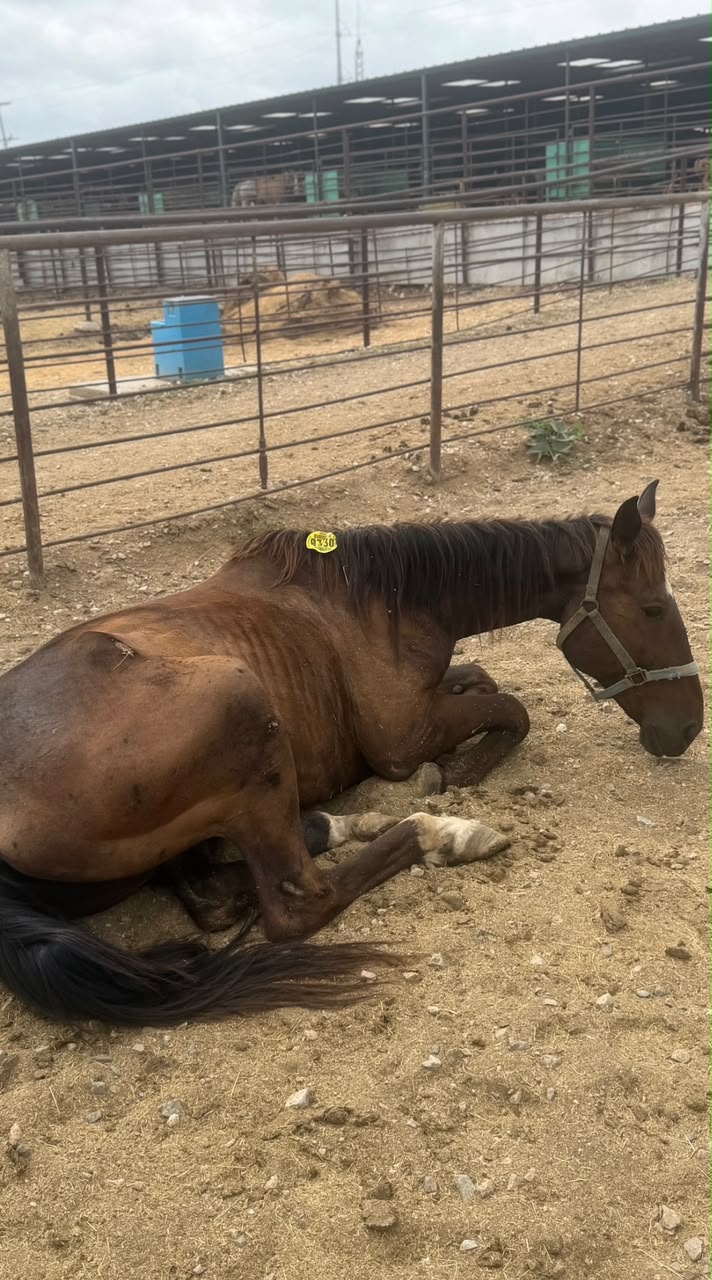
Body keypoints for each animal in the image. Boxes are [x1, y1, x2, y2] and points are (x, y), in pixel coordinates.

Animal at [0, 482, 702, 1026]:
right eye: (652, 608)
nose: (689, 728)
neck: (381, 604)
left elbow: (484, 682)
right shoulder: (401, 738)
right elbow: (511, 710)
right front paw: (457, 774)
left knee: (219, 890)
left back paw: (344, 822)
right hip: (241, 698)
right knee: (296, 902)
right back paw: (441, 832)